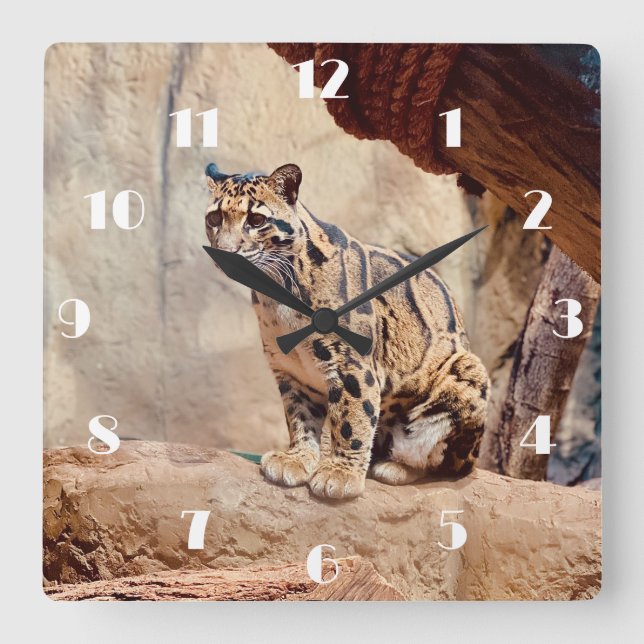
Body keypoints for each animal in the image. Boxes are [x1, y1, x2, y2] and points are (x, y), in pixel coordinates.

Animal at [204, 162, 489, 500]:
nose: (225, 251)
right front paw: (298, 459)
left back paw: (395, 467)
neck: (273, 293)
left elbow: (352, 418)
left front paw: (339, 474)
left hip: (467, 372)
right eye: (214, 218)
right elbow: (299, 418)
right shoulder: (291, 371)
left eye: (256, 220)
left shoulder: (351, 364)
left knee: (446, 463)